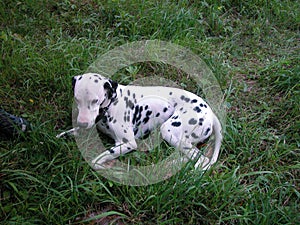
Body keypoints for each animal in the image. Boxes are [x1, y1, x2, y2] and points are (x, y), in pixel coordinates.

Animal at [72, 73, 223, 170]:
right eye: (77, 99)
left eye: (95, 100)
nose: (82, 123)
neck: (112, 102)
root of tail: (210, 112)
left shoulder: (128, 144)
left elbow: (95, 161)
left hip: (168, 130)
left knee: (200, 160)